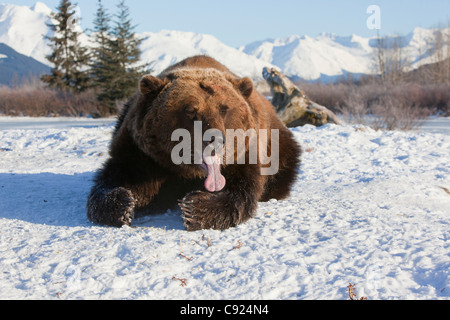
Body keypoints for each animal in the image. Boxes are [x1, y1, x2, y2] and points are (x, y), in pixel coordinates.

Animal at [86, 55, 300, 230]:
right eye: (190, 111)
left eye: (224, 109)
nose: (216, 140)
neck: (187, 172)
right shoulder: (142, 155)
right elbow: (114, 180)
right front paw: (123, 201)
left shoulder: (245, 152)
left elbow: (240, 191)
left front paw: (195, 207)